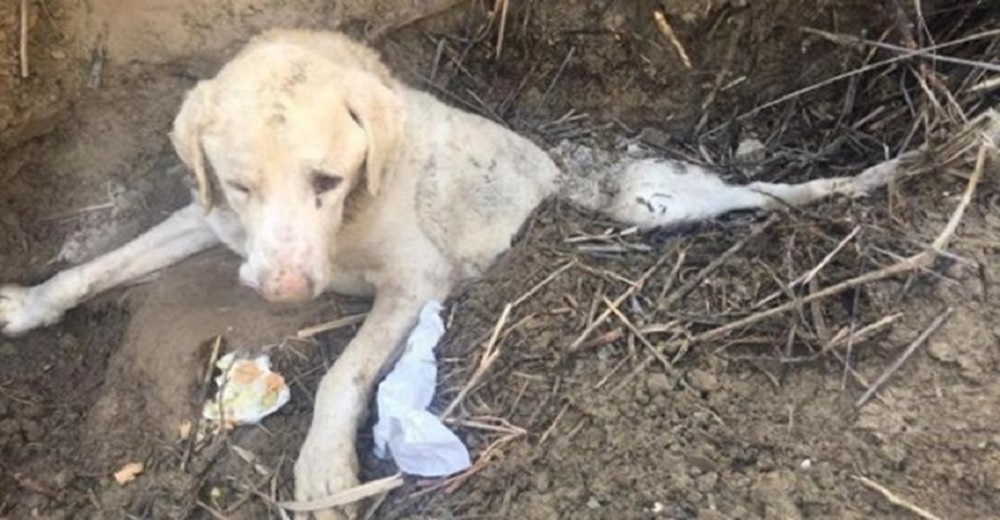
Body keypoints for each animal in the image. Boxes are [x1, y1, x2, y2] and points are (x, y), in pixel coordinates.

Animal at [0, 29, 892, 520]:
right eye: (243, 184)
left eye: (328, 179)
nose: (284, 294)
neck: (351, 217)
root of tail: (559, 156)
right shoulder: (211, 218)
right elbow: (99, 265)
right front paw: (27, 303)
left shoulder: (416, 284)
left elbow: (342, 376)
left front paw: (325, 470)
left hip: (653, 197)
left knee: (759, 191)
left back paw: (862, 180)